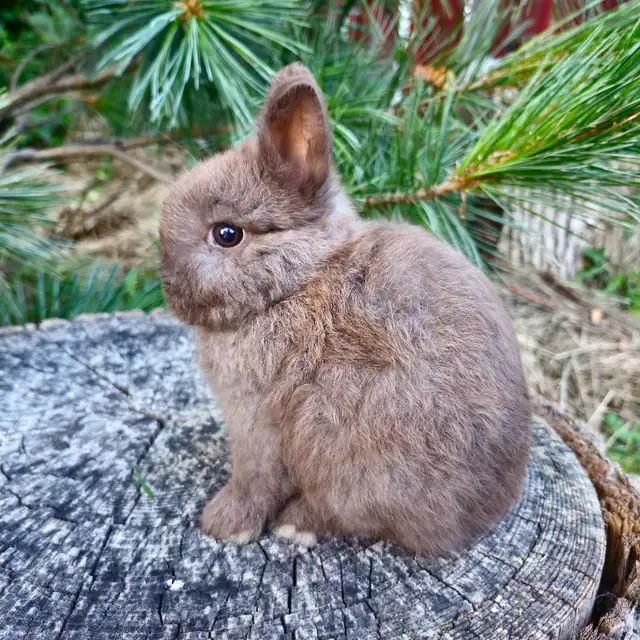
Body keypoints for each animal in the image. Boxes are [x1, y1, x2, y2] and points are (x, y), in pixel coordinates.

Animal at [159, 62, 532, 555]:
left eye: (226, 234)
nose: (167, 285)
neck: (294, 282)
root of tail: (482, 515)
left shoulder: (256, 424)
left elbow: (254, 480)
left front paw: (224, 525)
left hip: (350, 456)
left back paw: (294, 525)